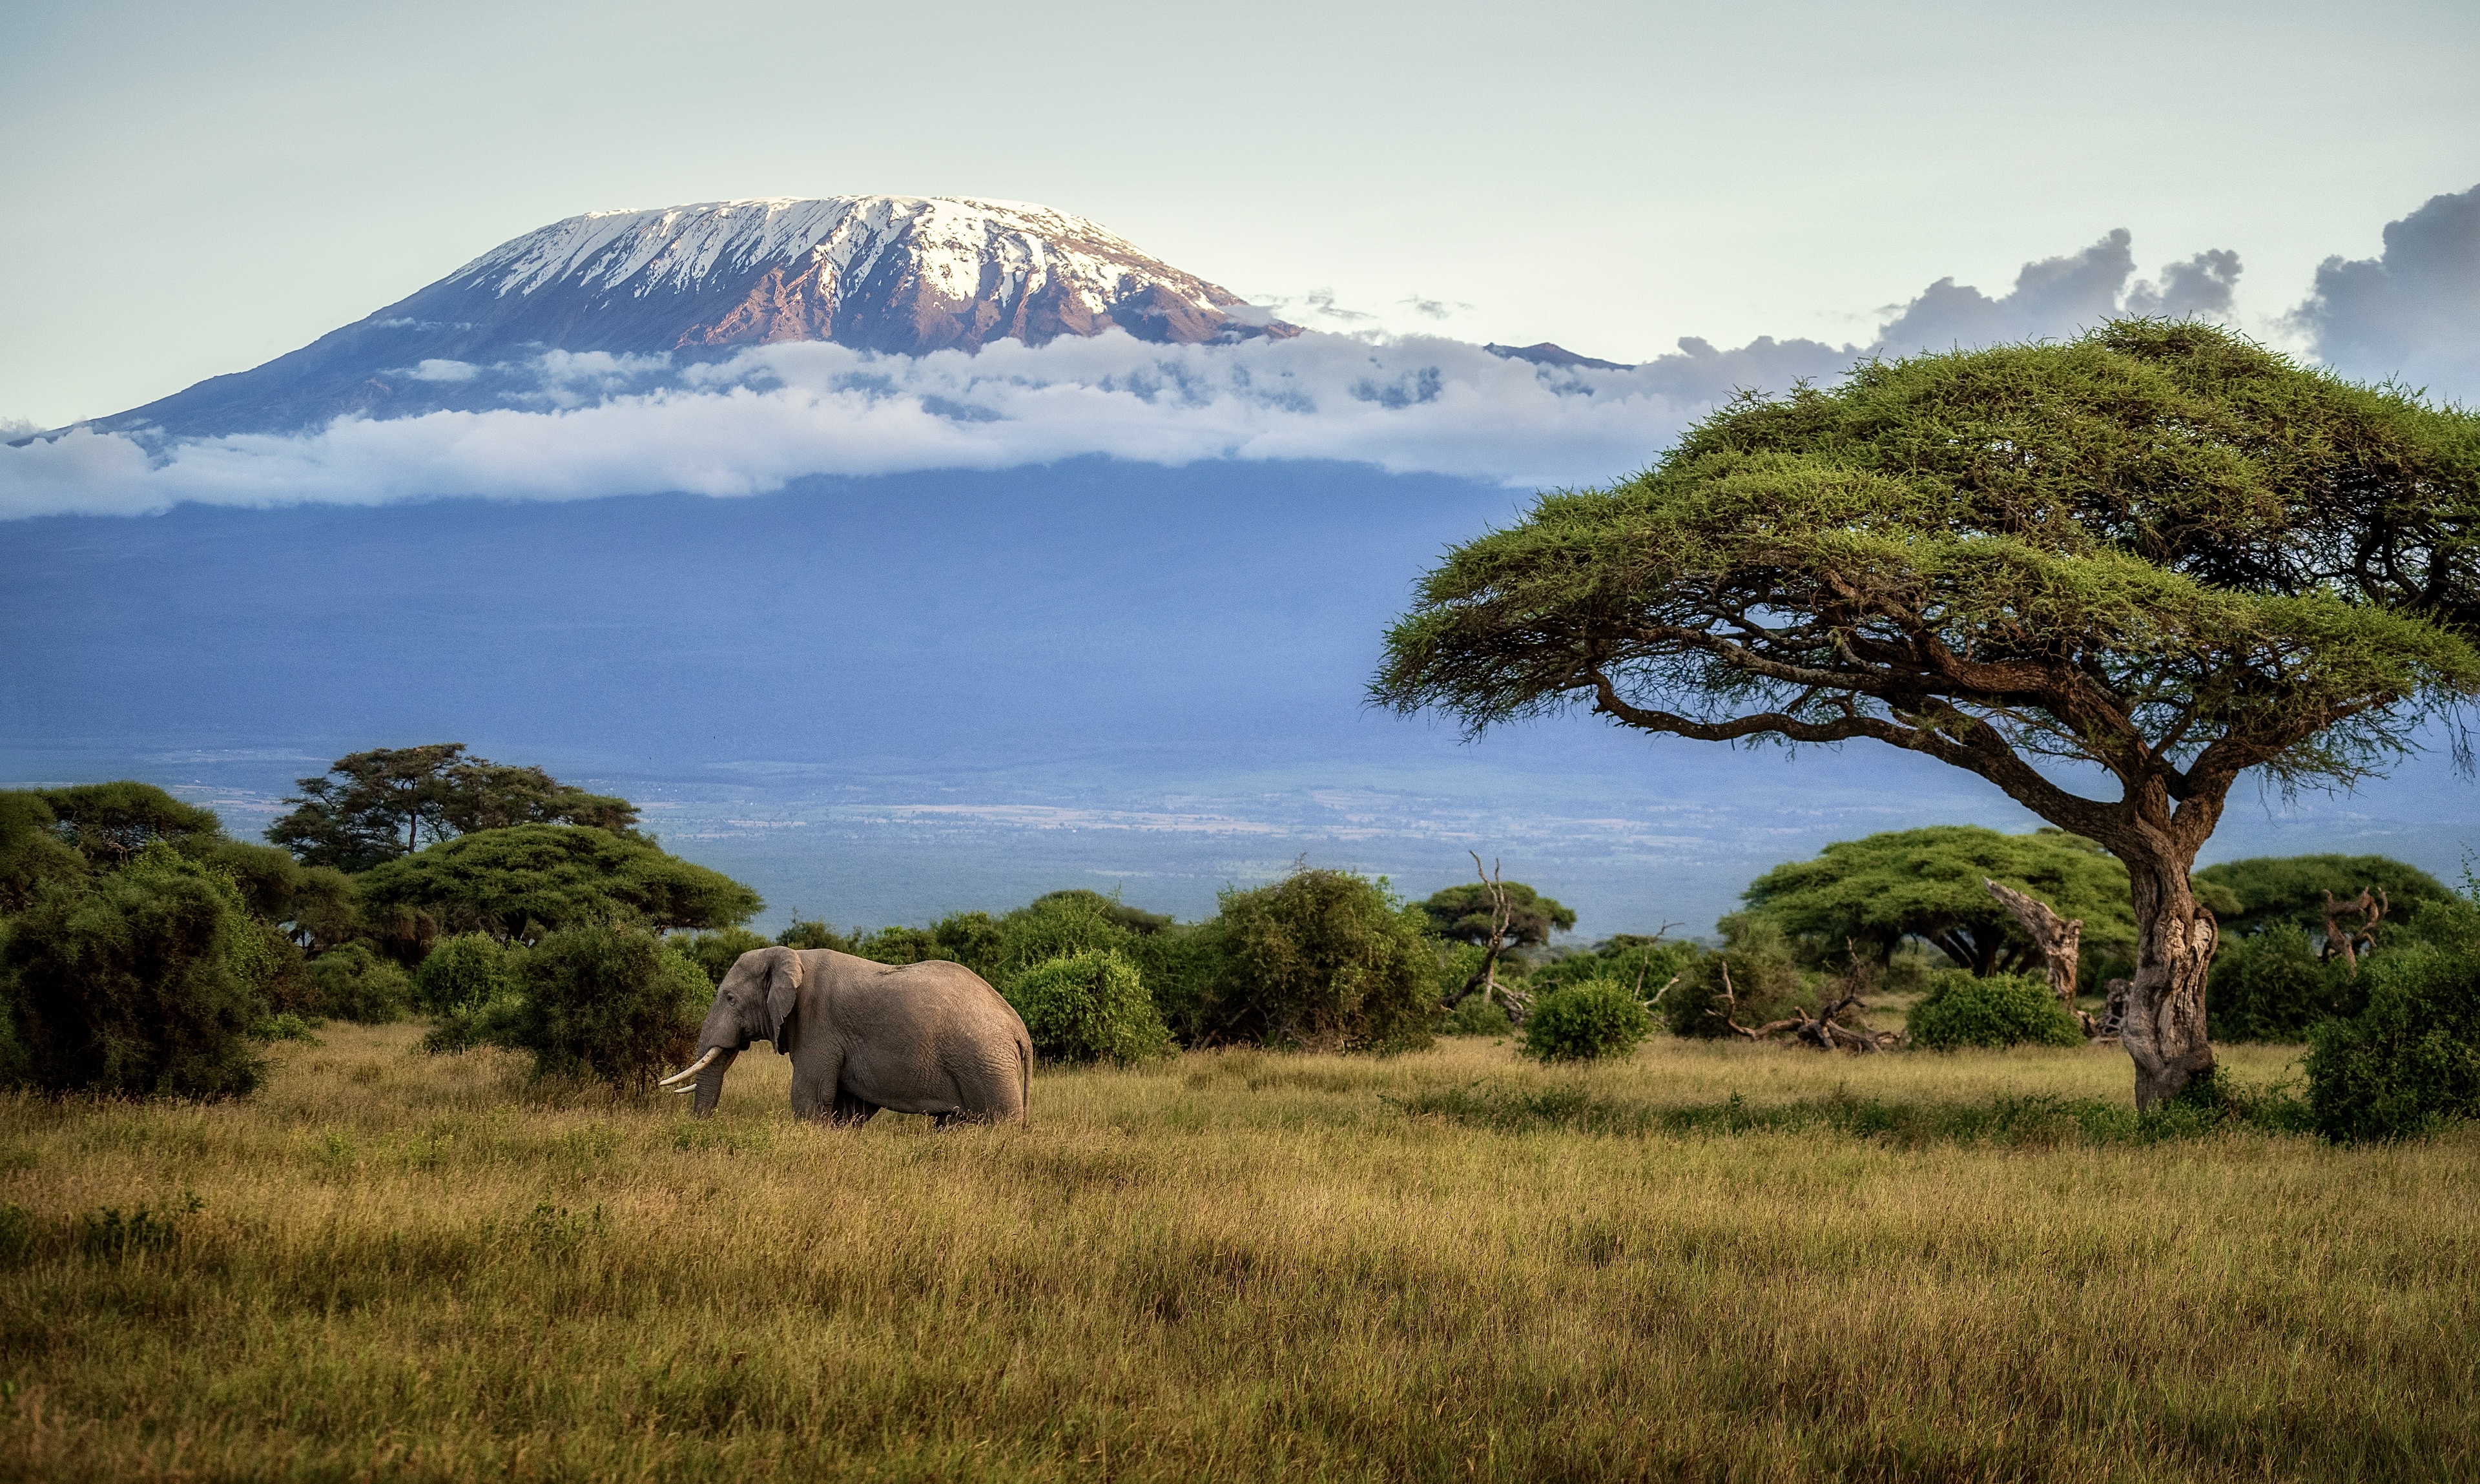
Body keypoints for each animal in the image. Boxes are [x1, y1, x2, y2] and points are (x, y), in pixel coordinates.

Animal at [660, 946, 1031, 1125]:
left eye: (730, 999)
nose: (700, 1127)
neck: (791, 955)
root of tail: (1019, 1029)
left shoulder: (818, 1025)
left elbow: (809, 1096)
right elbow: (848, 1106)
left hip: (986, 1064)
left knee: (998, 1122)